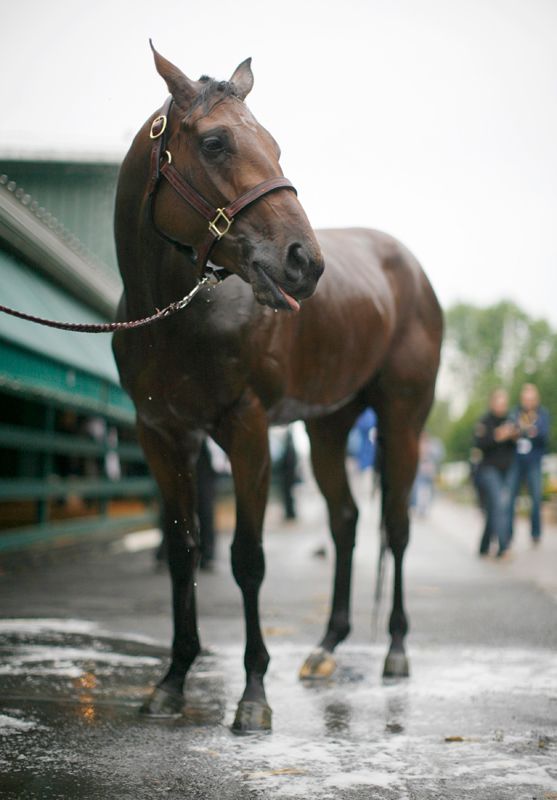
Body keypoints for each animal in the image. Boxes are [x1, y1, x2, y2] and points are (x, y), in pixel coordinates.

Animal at [113, 43, 444, 732]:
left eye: (275, 145)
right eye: (214, 142)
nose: (305, 262)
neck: (174, 315)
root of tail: (410, 269)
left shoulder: (247, 430)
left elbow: (247, 558)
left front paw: (253, 695)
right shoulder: (163, 436)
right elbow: (182, 551)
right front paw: (172, 681)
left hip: (402, 422)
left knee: (395, 526)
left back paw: (396, 652)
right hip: (329, 427)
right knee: (345, 522)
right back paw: (326, 647)